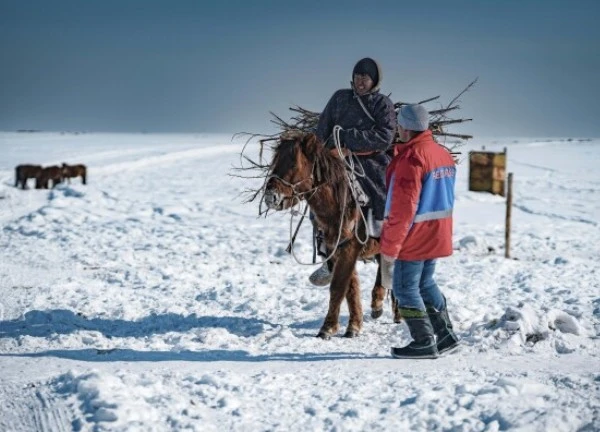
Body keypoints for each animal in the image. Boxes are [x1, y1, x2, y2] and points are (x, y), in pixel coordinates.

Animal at [264, 131, 400, 338]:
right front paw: (354, 325)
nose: (271, 197)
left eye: (294, 164)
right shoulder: (335, 248)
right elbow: (350, 287)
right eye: (275, 161)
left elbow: (338, 285)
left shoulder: (350, 247)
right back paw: (377, 305)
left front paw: (328, 328)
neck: (339, 203)